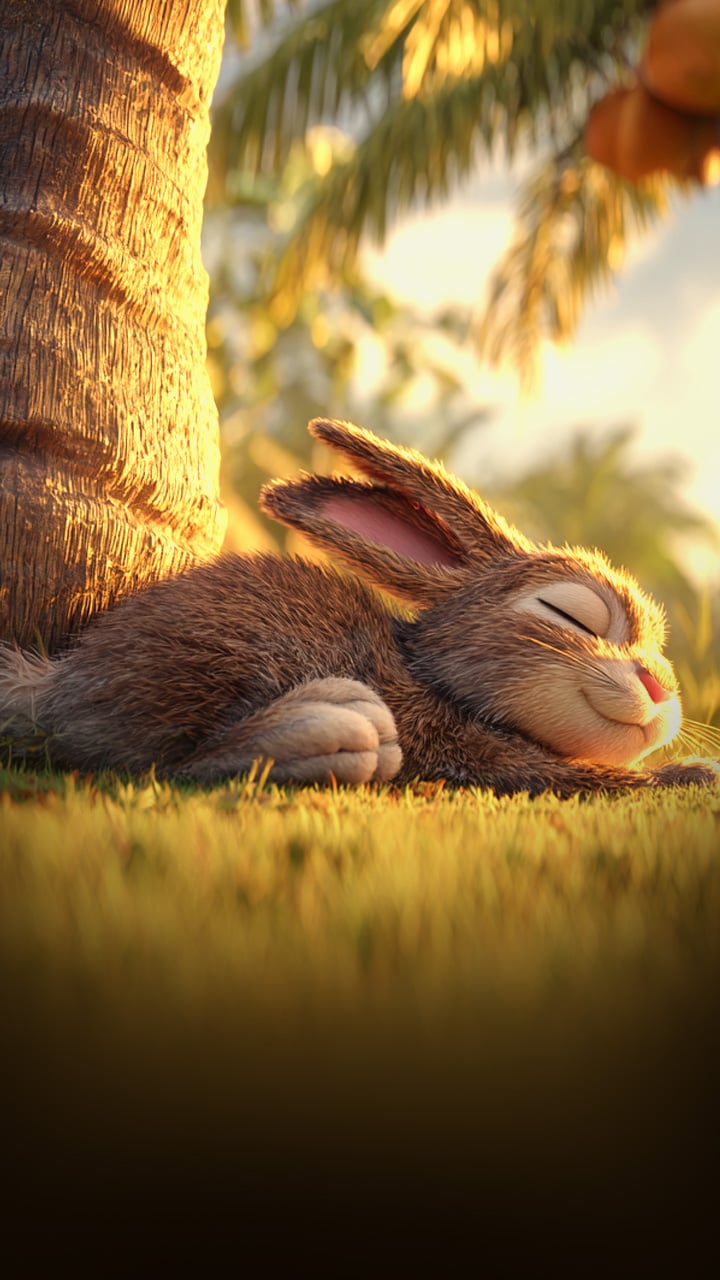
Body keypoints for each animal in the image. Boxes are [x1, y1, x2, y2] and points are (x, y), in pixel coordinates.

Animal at [1, 416, 718, 797]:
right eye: (569, 615)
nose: (660, 684)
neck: (433, 681)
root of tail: (56, 681)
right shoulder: (468, 749)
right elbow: (594, 777)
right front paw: (695, 773)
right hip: (203, 667)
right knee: (144, 761)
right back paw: (323, 731)